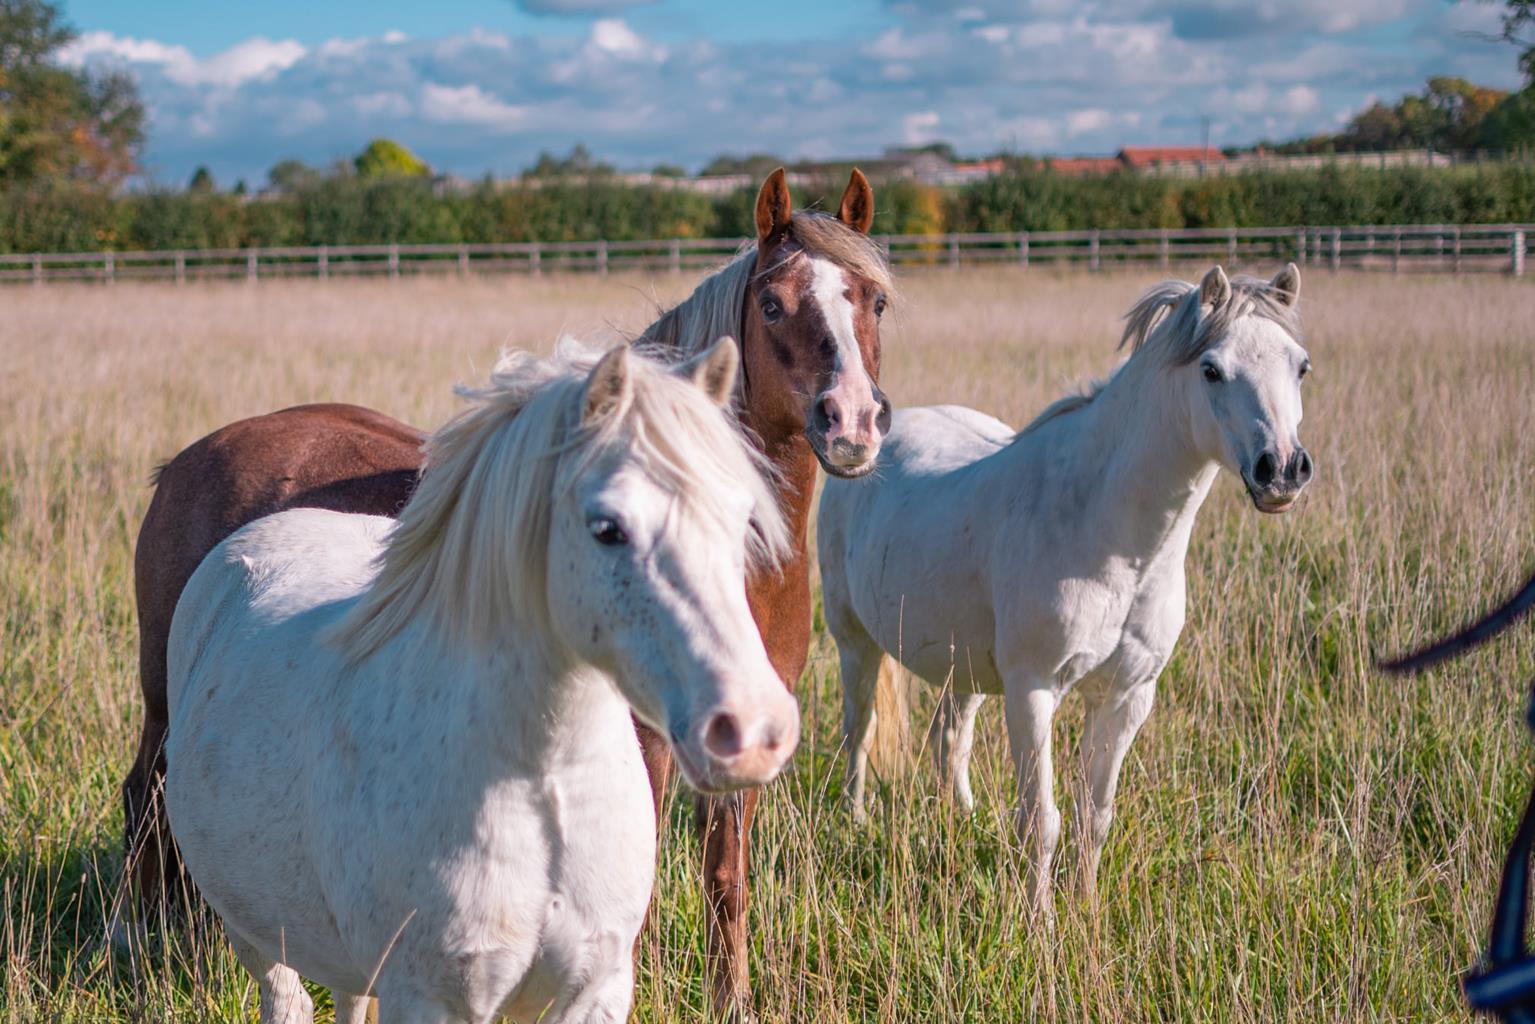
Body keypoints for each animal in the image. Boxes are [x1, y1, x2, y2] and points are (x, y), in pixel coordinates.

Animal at [165, 338, 799, 1024]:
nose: (752, 730)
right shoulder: (430, 997)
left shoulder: (595, 989)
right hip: (258, 934)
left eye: (740, 519)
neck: (545, 783)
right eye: (608, 528)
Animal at [817, 264, 1313, 912]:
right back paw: (853, 820)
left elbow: (1093, 817)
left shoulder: (1128, 696)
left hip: (962, 663)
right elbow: (1043, 821)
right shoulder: (1034, 691)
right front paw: (1042, 924)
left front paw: (1088, 910)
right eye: (1212, 369)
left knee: (950, 738)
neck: (1109, 535)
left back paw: (965, 818)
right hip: (855, 642)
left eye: (1300, 366)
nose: (1281, 469)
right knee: (859, 731)